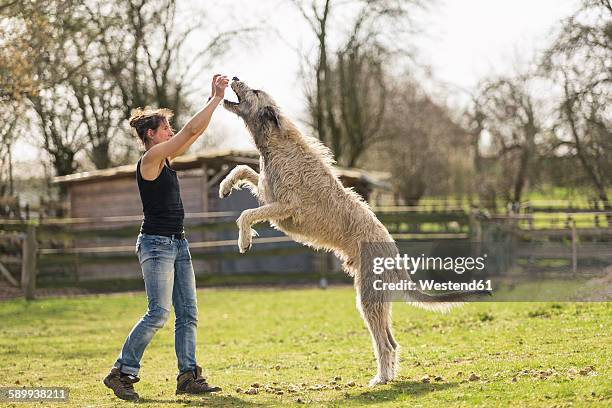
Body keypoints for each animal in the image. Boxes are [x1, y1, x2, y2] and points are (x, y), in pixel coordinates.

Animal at [220, 77, 488, 386]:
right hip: (377, 298)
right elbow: (243, 169)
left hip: (368, 298)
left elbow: (246, 214)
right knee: (391, 342)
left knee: (385, 344)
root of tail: (395, 256)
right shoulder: (267, 192)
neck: (276, 142)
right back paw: (387, 376)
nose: (234, 77)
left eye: (254, 91)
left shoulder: (285, 206)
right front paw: (225, 185)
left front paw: (244, 239)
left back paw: (381, 379)